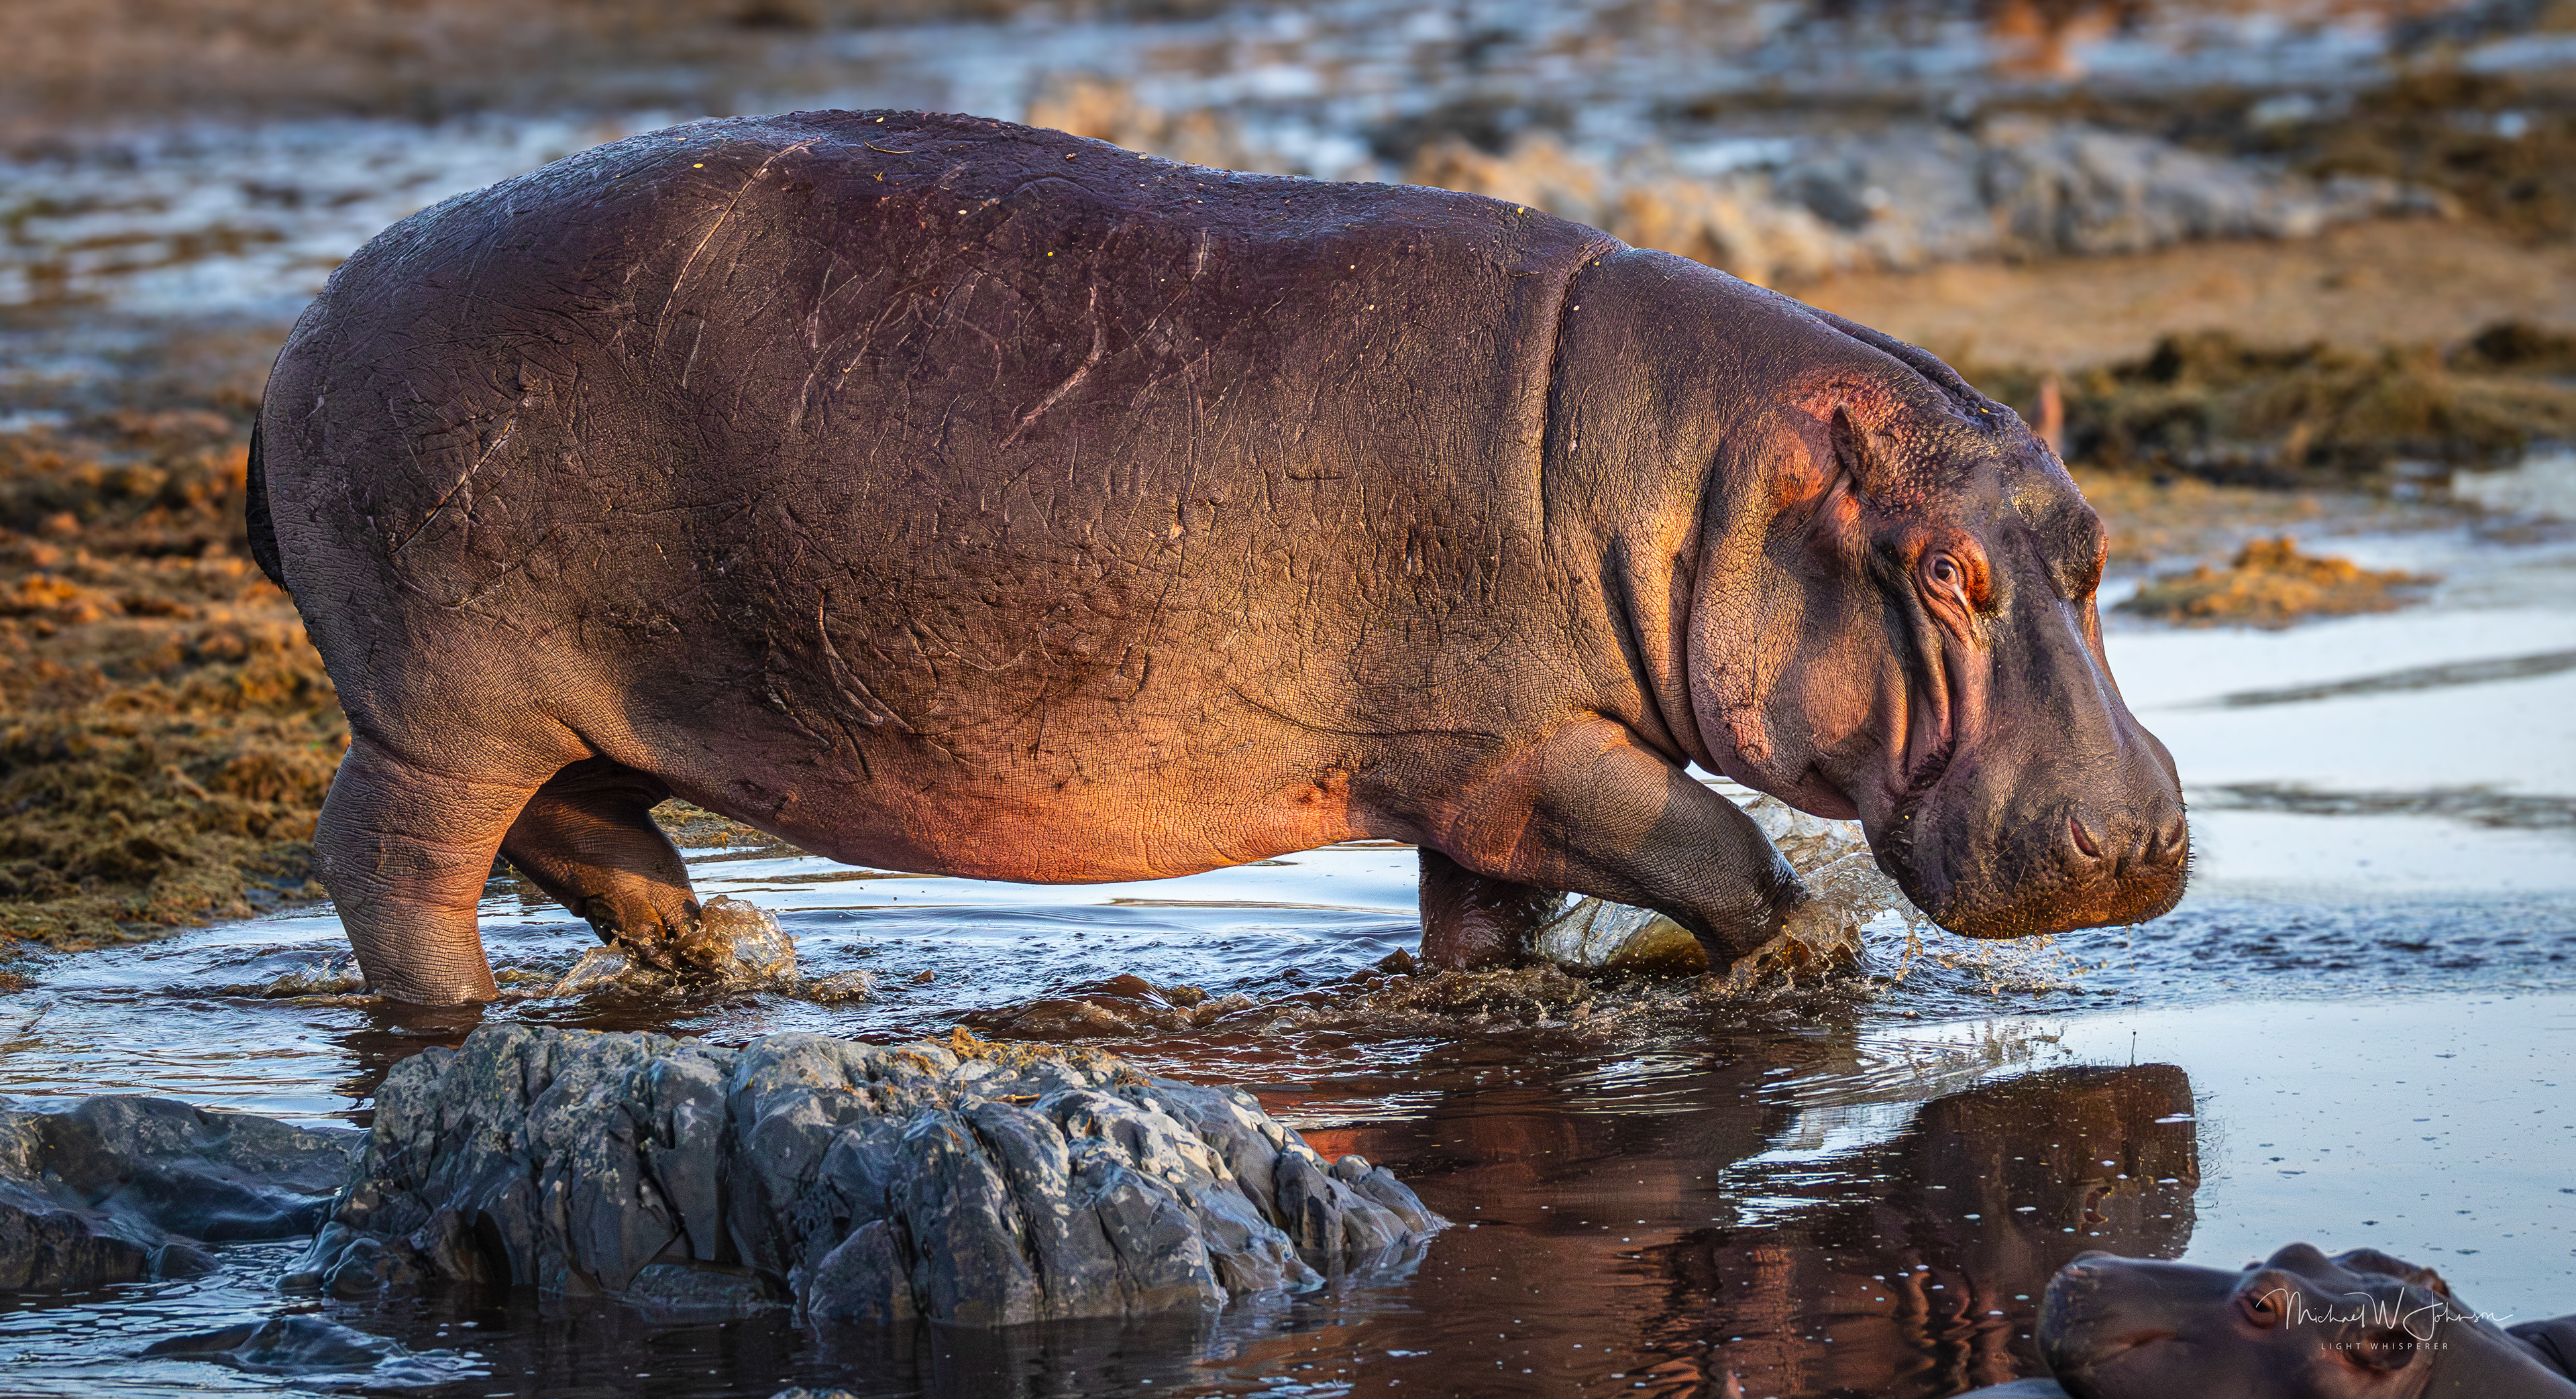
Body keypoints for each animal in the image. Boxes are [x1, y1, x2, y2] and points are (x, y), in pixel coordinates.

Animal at [248, 110, 2188, 1005]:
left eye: (2094, 548)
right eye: (1939, 575)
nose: (2135, 837)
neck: (1701, 478)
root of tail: (305, 335)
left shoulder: (1479, 789)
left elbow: (1486, 923)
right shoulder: (1522, 745)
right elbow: (1709, 846)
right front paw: (1800, 962)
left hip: (572, 702)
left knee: (584, 829)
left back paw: (714, 954)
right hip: (444, 694)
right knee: (396, 856)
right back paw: (466, 1009)